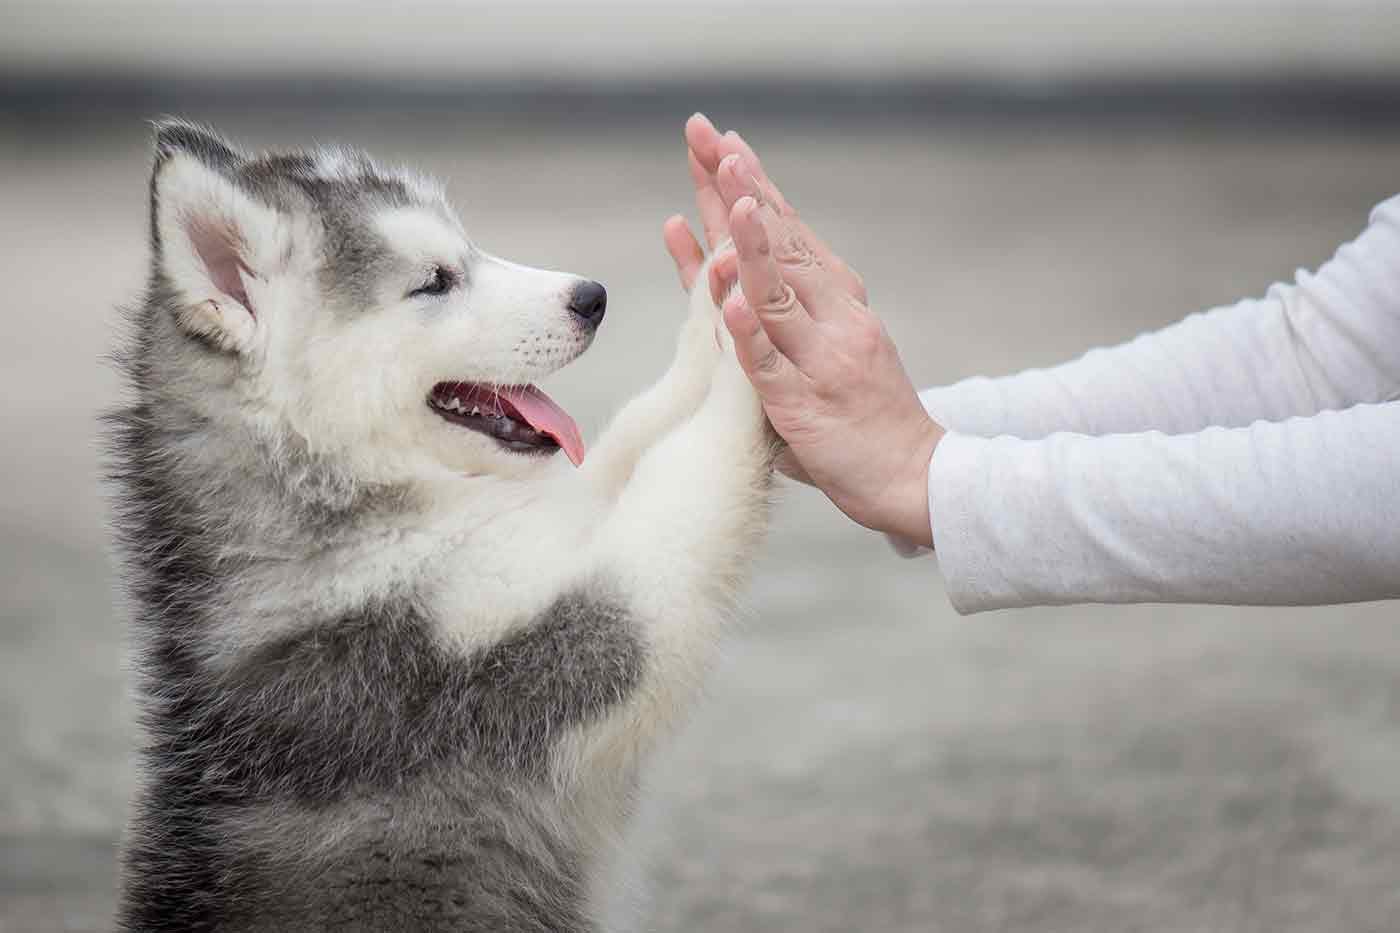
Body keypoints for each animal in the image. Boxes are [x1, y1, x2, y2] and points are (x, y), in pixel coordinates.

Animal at [112, 119, 778, 924]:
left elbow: (637, 432)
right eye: (434, 280)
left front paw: (723, 284)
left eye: (469, 249)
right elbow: (685, 475)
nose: (591, 296)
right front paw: (757, 341)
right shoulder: (546, 648)